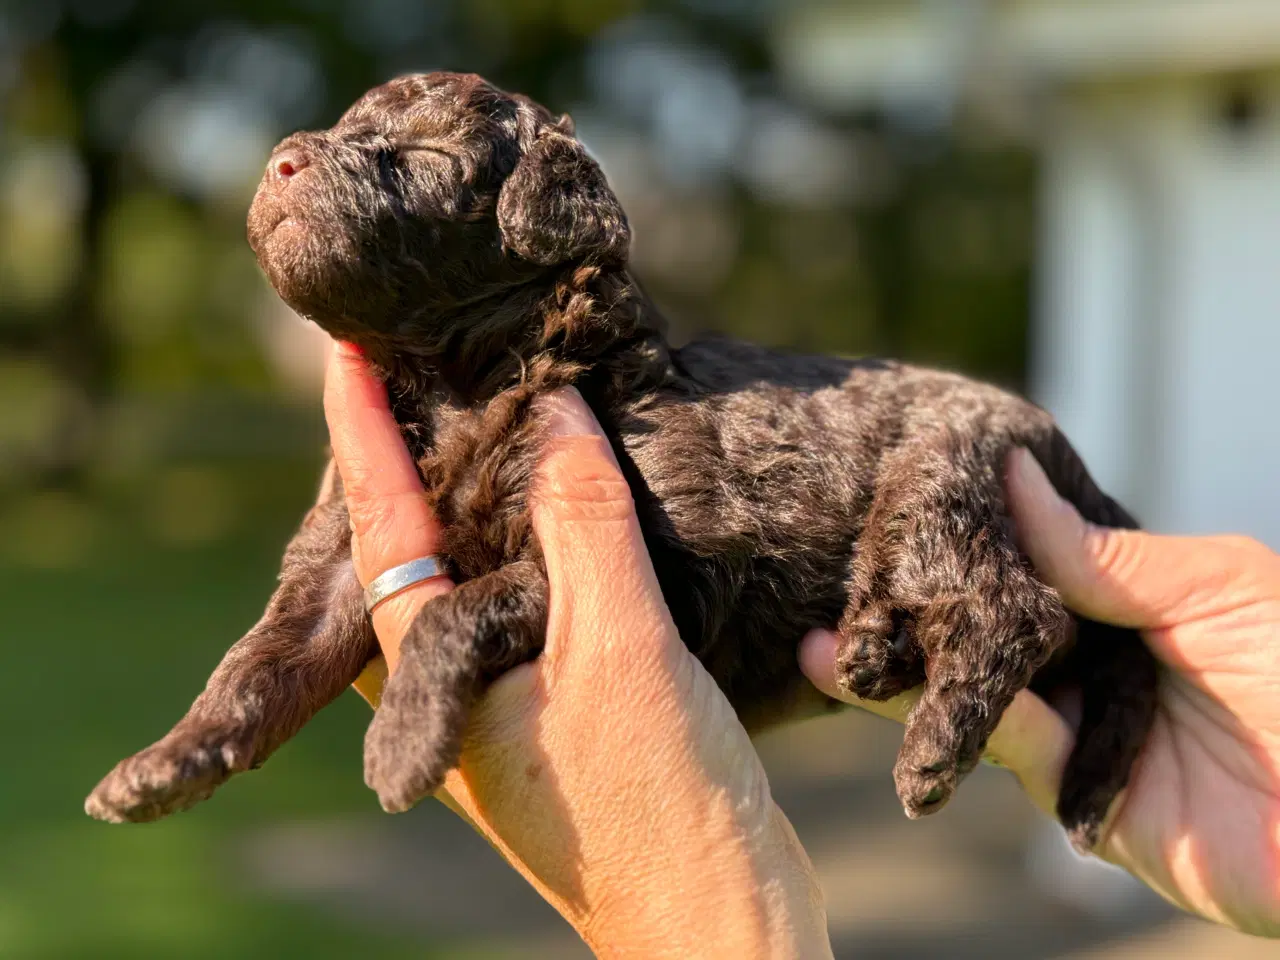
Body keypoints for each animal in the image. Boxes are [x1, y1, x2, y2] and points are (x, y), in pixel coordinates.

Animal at [85, 71, 1157, 855]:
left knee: (1022, 608)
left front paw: (400, 744)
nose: (280, 160)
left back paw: (930, 749)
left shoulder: (656, 569)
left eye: (424, 156)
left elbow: (454, 613)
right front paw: (160, 766)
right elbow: (255, 667)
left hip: (939, 481)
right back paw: (879, 652)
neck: (456, 389)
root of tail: (1066, 451)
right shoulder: (334, 560)